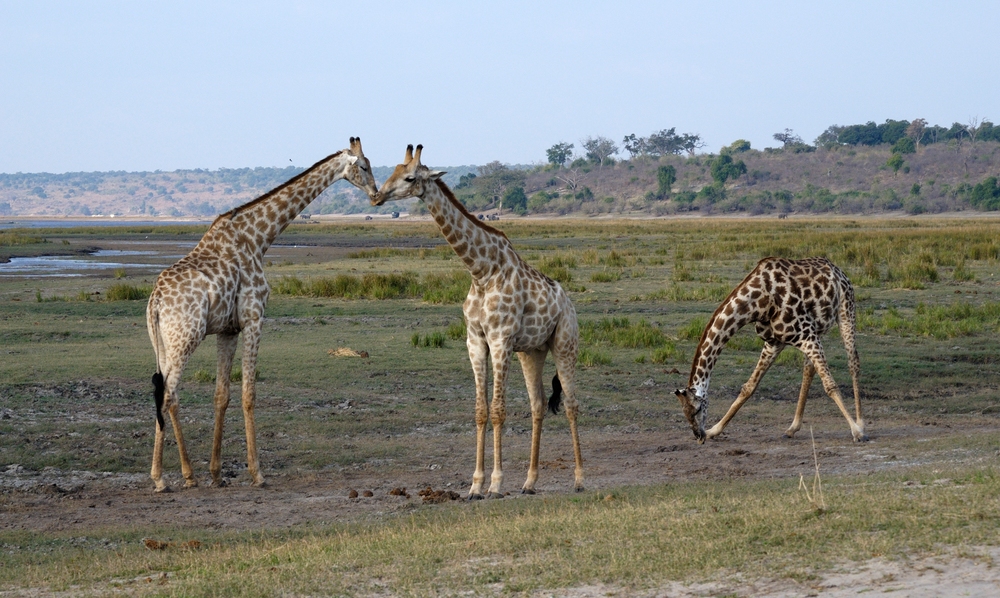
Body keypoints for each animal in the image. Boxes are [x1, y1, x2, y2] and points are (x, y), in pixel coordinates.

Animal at [147, 138, 378, 494]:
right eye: (364, 166)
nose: (377, 194)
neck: (259, 238)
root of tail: (155, 301)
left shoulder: (228, 330)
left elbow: (222, 396)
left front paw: (216, 472)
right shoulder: (255, 319)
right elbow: (249, 394)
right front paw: (257, 473)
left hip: (163, 342)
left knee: (166, 393)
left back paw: (188, 474)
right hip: (185, 337)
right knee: (168, 394)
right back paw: (161, 478)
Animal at [372, 146, 584, 502]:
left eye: (410, 177)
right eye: (394, 171)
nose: (376, 195)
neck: (481, 272)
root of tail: (568, 303)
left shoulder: (500, 340)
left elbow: (498, 410)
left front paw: (496, 485)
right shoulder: (475, 341)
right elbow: (481, 411)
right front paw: (474, 485)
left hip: (564, 343)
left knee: (571, 404)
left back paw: (580, 479)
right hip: (533, 351)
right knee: (538, 405)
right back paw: (530, 482)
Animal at [676, 256, 872, 446]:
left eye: (697, 410)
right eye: (685, 413)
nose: (699, 436)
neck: (757, 302)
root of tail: (838, 271)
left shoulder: (805, 334)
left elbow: (830, 385)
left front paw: (857, 433)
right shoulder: (775, 342)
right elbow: (749, 387)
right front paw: (714, 431)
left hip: (846, 310)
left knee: (853, 361)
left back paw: (860, 423)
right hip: (817, 329)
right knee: (809, 369)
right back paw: (792, 428)